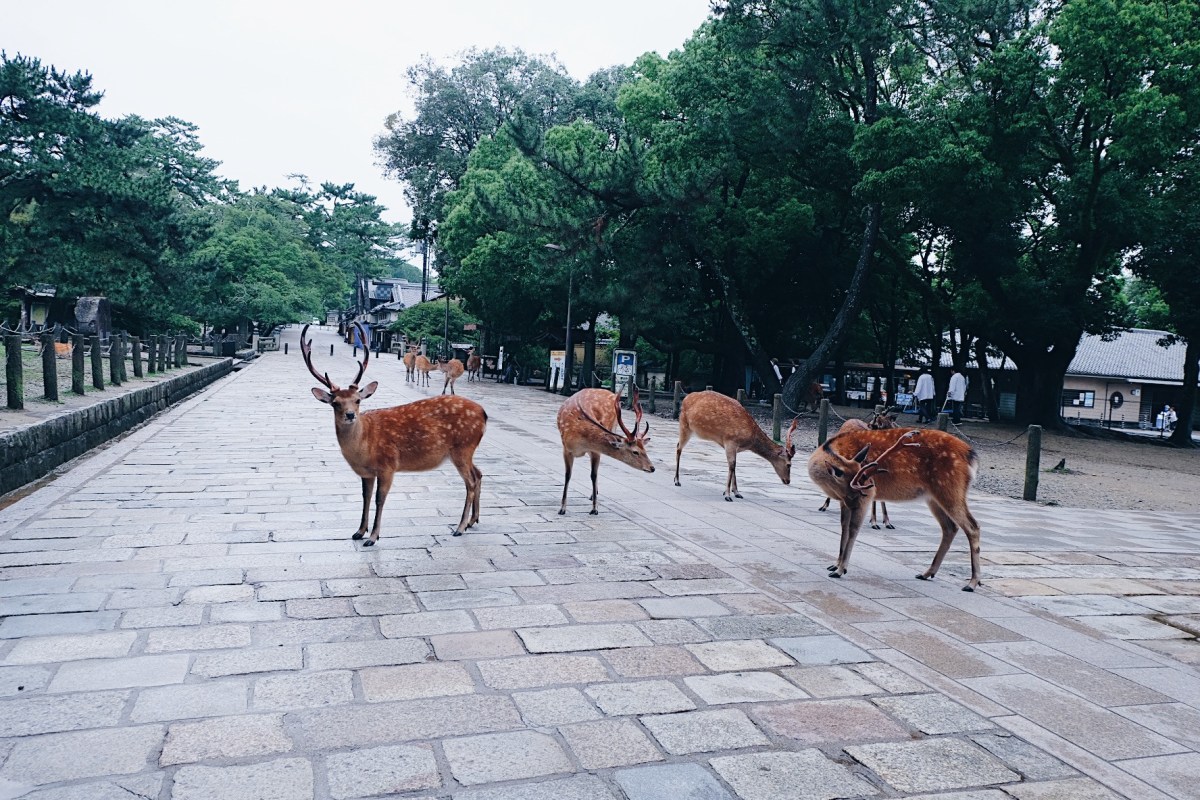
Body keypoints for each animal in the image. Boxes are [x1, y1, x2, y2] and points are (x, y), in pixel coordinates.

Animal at [301, 323, 487, 544]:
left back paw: (459, 527)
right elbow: (365, 497)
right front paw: (359, 531)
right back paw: (472, 521)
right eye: (335, 403)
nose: (350, 415)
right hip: (465, 451)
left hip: (463, 447)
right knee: (479, 473)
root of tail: (484, 414)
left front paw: (373, 536)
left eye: (357, 400)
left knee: (471, 482)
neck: (364, 448)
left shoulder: (388, 465)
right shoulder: (367, 472)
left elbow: (379, 499)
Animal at [557, 387, 655, 515]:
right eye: (635, 452)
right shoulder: (566, 449)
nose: (652, 468)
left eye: (645, 449)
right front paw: (562, 508)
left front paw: (595, 508)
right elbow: (567, 475)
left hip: (613, 426)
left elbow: (593, 475)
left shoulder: (595, 451)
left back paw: (594, 495)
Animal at [808, 426, 982, 591]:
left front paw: (840, 569)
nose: (869, 488)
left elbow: (853, 529)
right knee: (950, 527)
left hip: (951, 488)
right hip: (933, 496)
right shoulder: (845, 500)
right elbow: (844, 527)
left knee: (972, 526)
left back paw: (972, 583)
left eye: (865, 487)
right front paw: (835, 564)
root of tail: (970, 456)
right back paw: (927, 573)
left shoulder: (865, 497)